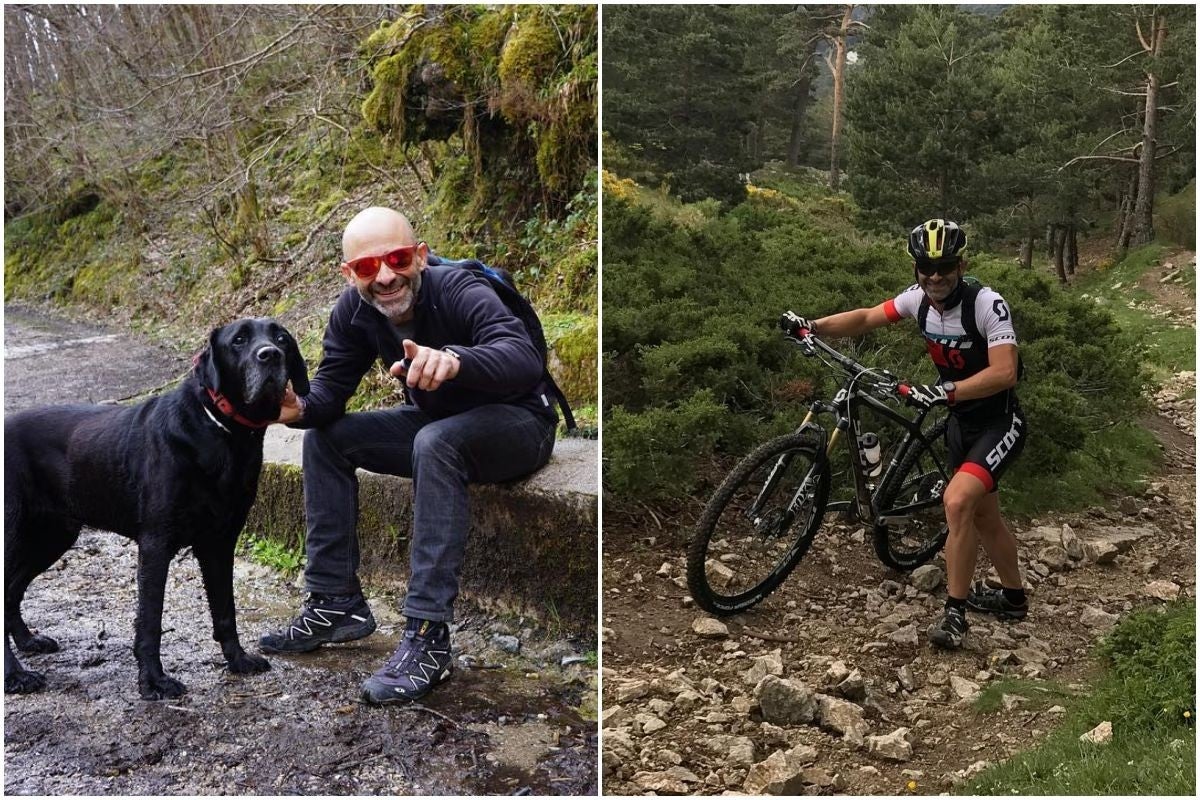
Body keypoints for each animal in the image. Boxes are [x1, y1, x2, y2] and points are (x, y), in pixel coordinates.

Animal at [4, 319, 309, 700]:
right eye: (239, 339)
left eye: (281, 338)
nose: (270, 355)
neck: (222, 431)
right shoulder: (156, 544)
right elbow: (150, 620)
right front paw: (153, 681)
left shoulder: (219, 542)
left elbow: (226, 610)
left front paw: (238, 660)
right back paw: (15, 675)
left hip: (52, 536)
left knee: (11, 592)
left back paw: (27, 642)